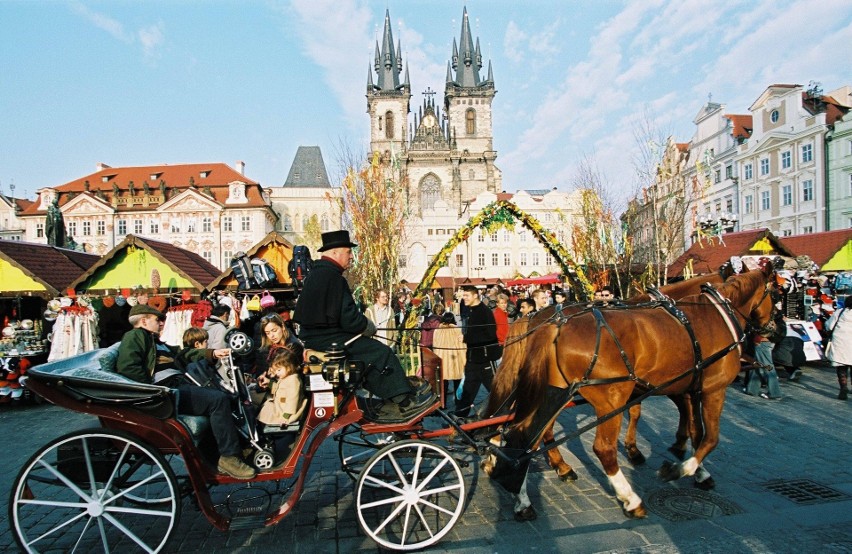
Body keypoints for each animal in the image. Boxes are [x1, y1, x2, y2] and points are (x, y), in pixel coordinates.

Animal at [490, 272, 724, 478]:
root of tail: (533, 318)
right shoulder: (673, 382)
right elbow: (686, 414)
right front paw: (684, 451)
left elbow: (639, 412)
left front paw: (638, 449)